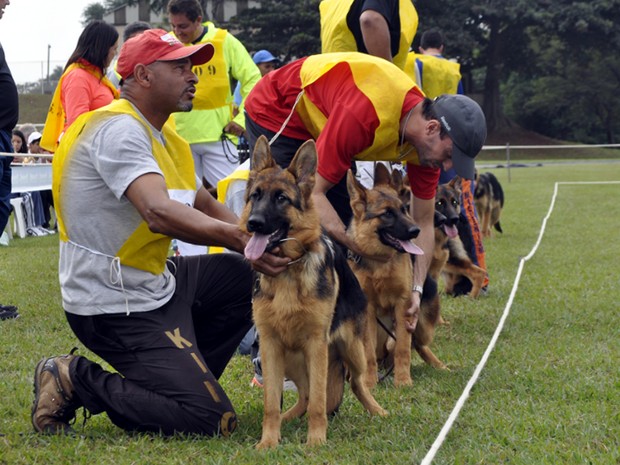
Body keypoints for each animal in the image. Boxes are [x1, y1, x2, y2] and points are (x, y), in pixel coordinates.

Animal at [240, 136, 386, 448]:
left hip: (351, 350)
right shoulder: (271, 347)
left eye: (281, 198)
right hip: (291, 360)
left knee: (356, 382)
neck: (288, 272)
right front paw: (268, 442)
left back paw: (377, 410)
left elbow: (320, 401)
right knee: (305, 395)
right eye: (255, 196)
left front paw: (316, 442)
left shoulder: (316, 345)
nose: (253, 223)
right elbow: (272, 404)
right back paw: (286, 420)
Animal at [348, 165, 446, 386]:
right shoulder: (368, 309)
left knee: (417, 344)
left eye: (403, 210)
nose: (416, 230)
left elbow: (402, 347)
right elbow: (368, 352)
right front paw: (369, 383)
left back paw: (439, 365)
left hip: (423, 326)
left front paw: (403, 381)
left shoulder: (404, 306)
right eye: (387, 214)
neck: (380, 262)